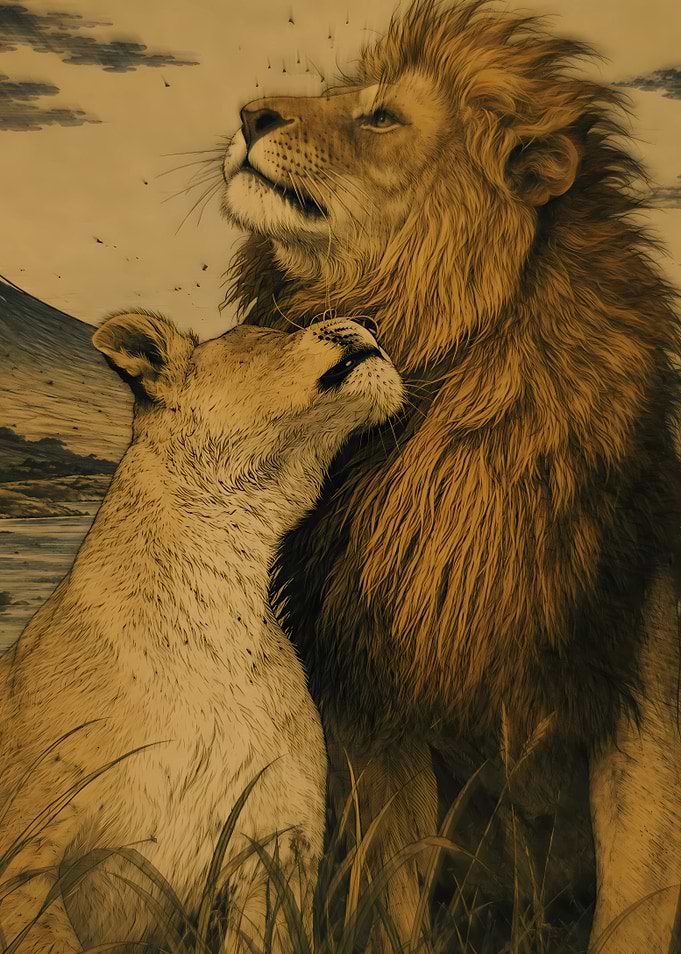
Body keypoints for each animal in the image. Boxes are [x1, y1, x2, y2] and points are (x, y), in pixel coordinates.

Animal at [219, 1, 681, 950]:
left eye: (380, 118)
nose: (248, 115)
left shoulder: (645, 703)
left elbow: (637, 898)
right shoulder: (378, 697)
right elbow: (388, 889)